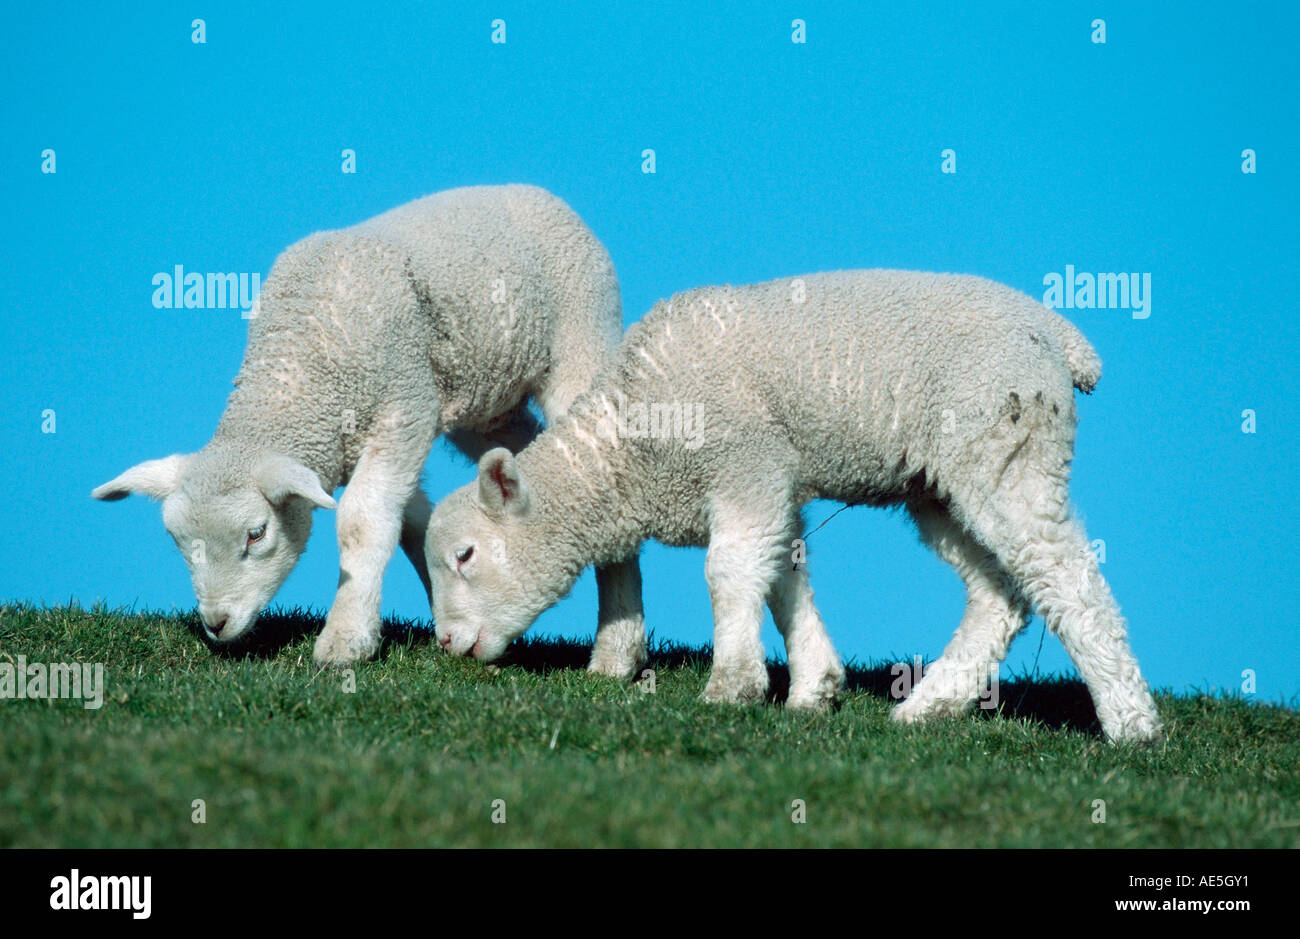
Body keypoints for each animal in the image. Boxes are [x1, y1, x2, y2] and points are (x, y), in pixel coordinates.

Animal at [94, 183, 650, 671]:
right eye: (178, 541)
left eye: (256, 534)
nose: (216, 623)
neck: (301, 364)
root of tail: (532, 192)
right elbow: (413, 522)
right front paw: (441, 612)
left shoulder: (403, 410)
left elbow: (363, 521)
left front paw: (346, 637)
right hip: (489, 405)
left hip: (581, 336)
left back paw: (618, 652)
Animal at [428, 266, 1170, 743]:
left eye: (465, 555)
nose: (446, 643)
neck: (633, 446)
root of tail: (1058, 334)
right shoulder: (772, 483)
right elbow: (781, 575)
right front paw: (815, 686)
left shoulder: (745, 462)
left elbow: (729, 572)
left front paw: (733, 686)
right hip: (941, 481)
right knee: (999, 594)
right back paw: (927, 709)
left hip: (1008, 445)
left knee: (1067, 576)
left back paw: (1131, 724)